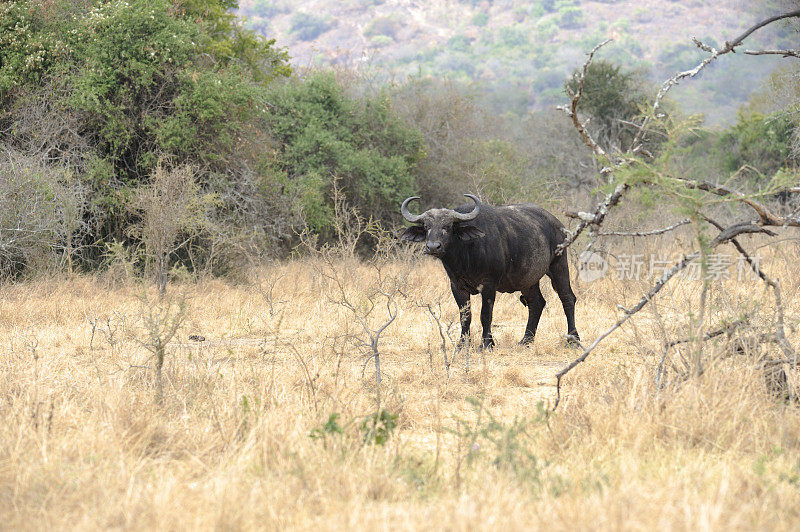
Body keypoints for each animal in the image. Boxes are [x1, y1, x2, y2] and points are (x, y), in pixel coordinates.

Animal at [404, 194, 580, 350]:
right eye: (426, 227)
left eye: (447, 227)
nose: (433, 247)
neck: (466, 255)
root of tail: (558, 224)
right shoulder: (457, 287)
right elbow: (465, 316)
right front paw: (462, 345)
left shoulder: (489, 286)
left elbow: (485, 315)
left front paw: (487, 344)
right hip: (528, 279)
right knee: (536, 303)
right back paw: (526, 340)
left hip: (559, 266)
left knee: (568, 298)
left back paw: (573, 340)